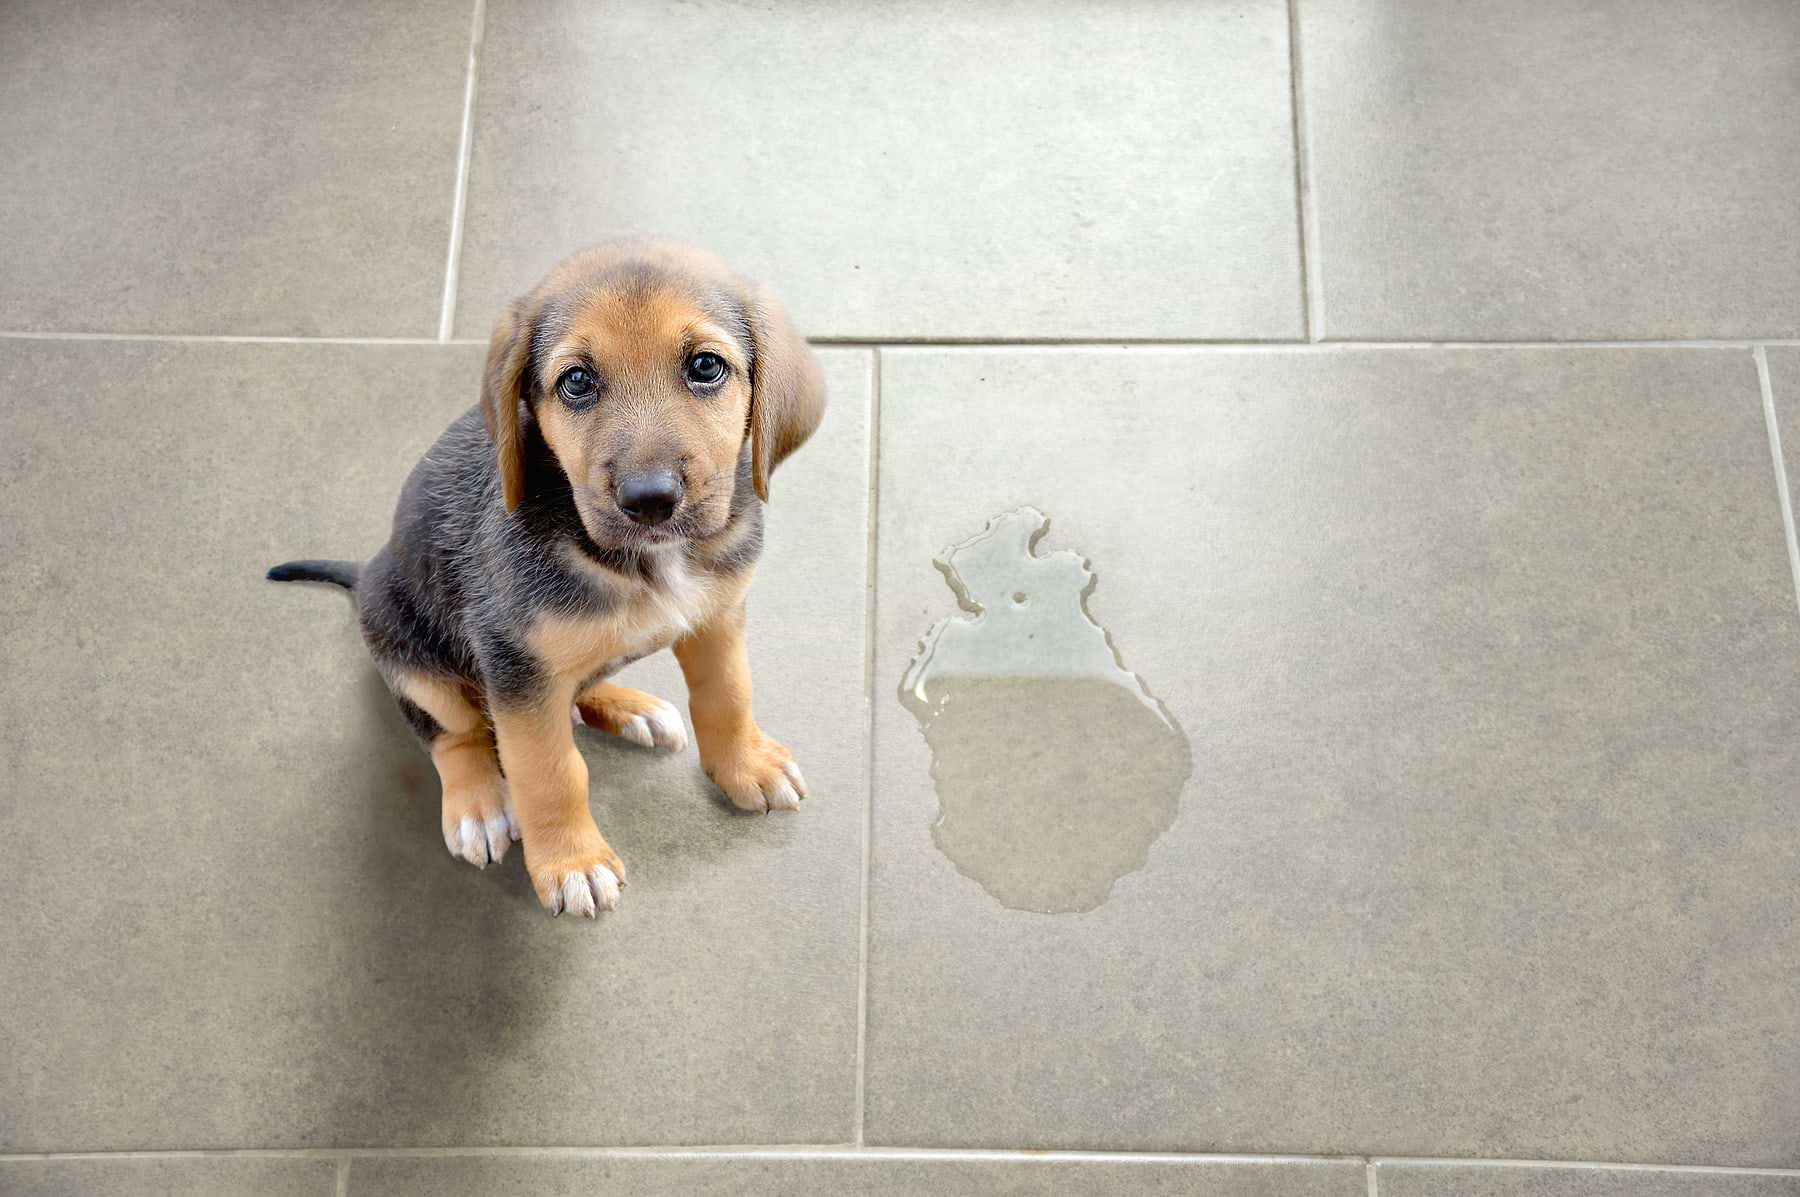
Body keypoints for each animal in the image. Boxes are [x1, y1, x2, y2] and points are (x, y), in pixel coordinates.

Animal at [270, 241, 824, 914]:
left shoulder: (717, 617)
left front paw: (745, 765)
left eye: (706, 366)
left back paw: (631, 708)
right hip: (409, 652)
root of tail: (367, 569)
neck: (646, 561)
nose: (650, 501)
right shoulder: (515, 664)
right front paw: (571, 862)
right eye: (577, 382)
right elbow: (550, 771)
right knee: (453, 733)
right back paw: (478, 804)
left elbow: (728, 696)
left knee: (578, 687)